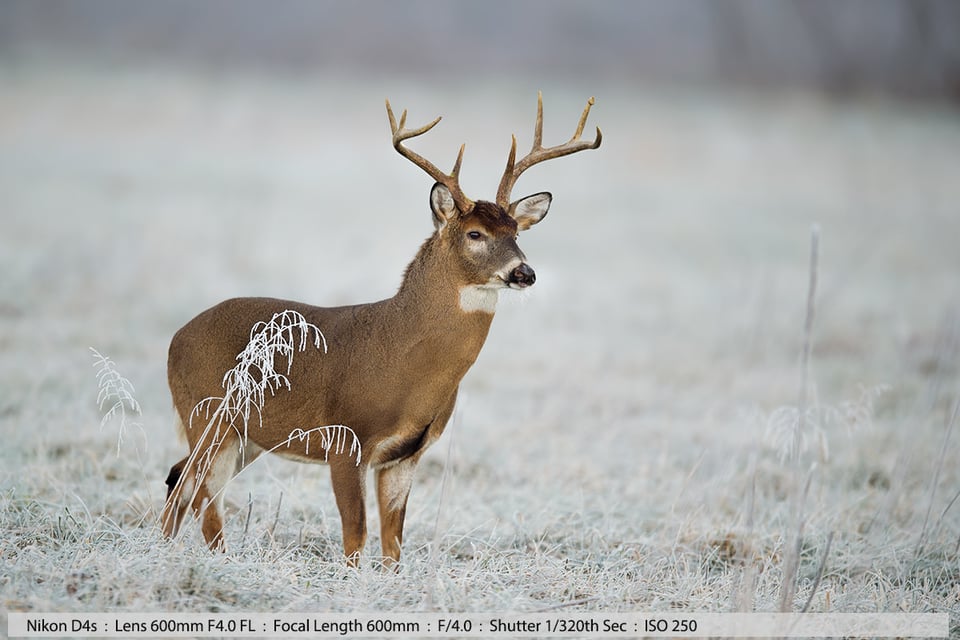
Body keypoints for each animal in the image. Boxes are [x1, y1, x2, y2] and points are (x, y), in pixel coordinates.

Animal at [163, 91, 600, 564]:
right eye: (475, 234)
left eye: (517, 231)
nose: (524, 273)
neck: (403, 360)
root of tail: (175, 339)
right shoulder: (344, 438)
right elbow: (356, 536)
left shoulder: (406, 455)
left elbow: (393, 544)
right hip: (208, 415)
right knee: (206, 505)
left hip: (245, 437)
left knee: (178, 481)